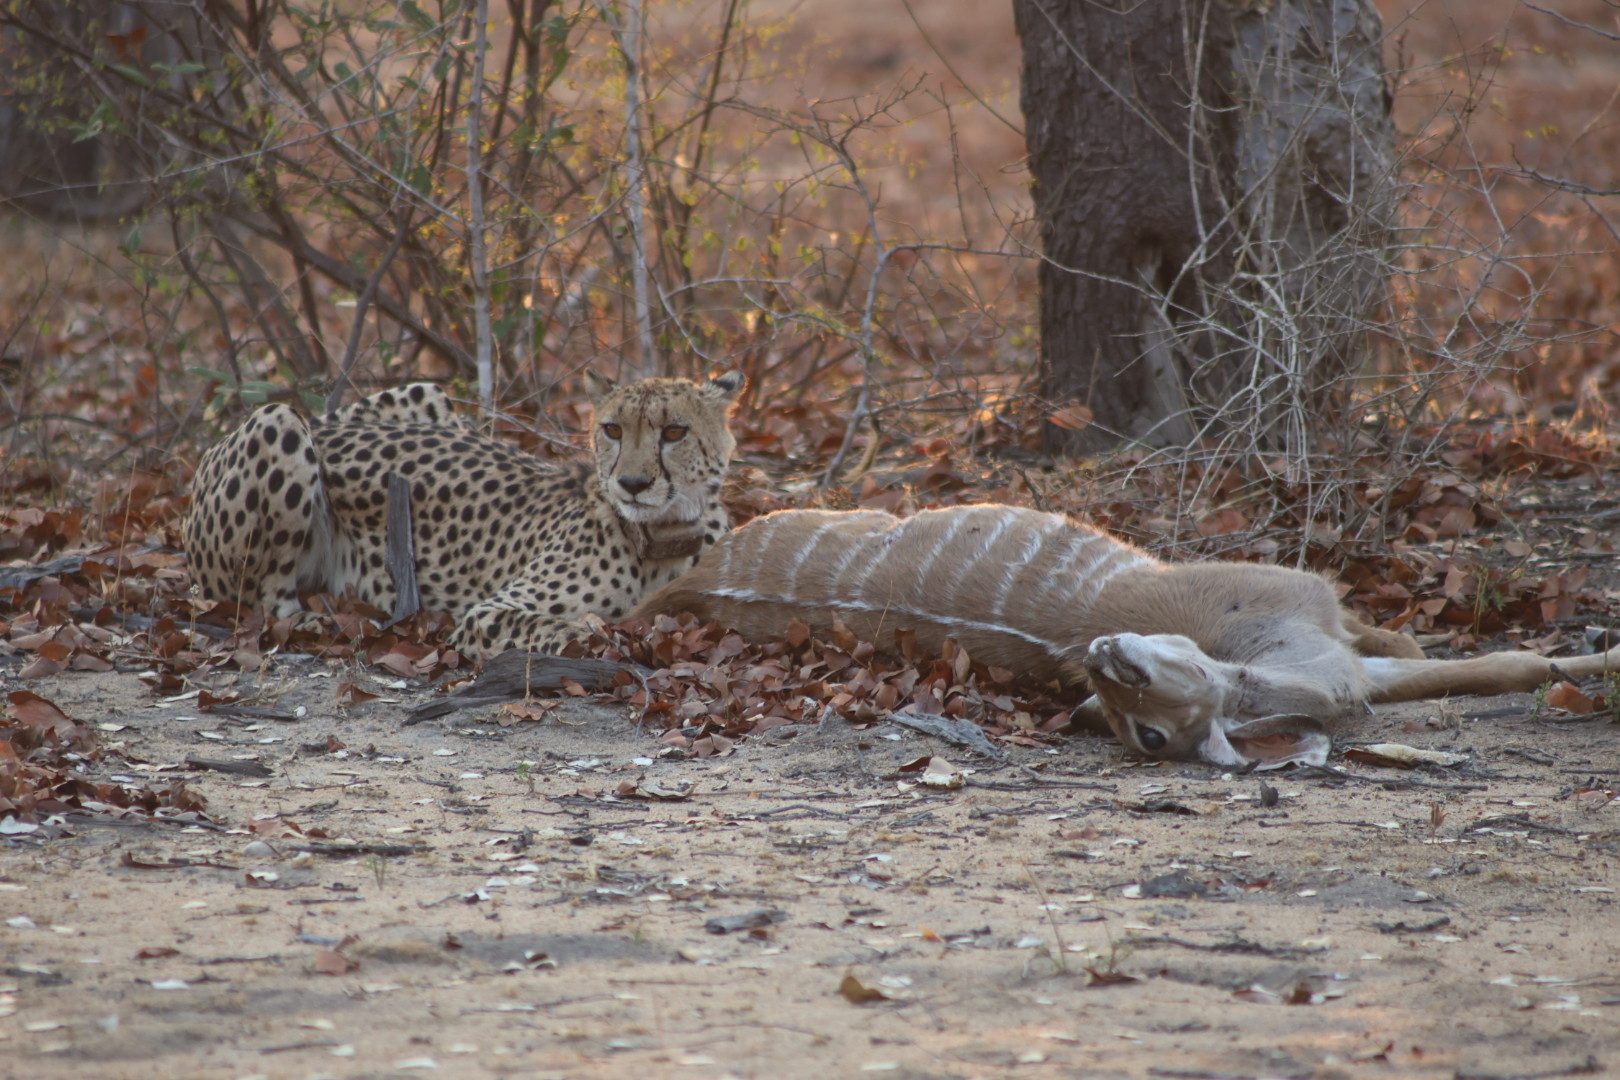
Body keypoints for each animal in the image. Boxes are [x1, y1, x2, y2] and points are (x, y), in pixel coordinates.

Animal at [182, 371, 745, 658]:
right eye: (612, 430)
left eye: (674, 432)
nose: (632, 483)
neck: (663, 534)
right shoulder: (486, 614)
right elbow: (575, 630)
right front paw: (617, 639)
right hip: (278, 421)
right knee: (261, 601)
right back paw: (324, 621)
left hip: (426, 394)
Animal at [636, 504, 1620, 768]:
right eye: (1144, 735)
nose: (1110, 652)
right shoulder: (1308, 596)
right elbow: (1487, 657)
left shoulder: (1349, 645)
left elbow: (1502, 662)